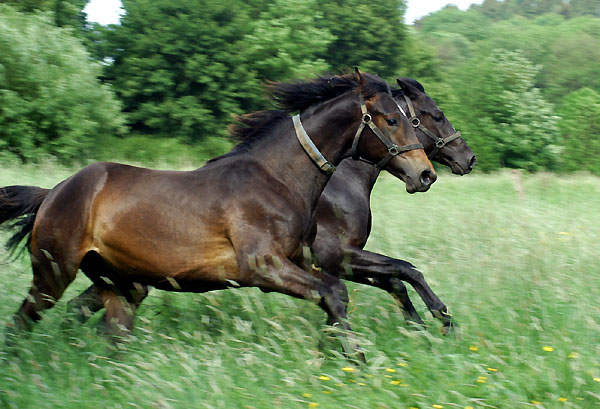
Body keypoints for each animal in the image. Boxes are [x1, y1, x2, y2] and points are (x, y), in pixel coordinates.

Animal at [0, 70, 434, 356]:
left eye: (411, 119)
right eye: (393, 119)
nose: (425, 173)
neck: (276, 179)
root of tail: (54, 192)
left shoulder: (304, 260)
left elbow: (345, 292)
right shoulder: (263, 267)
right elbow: (335, 293)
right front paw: (355, 357)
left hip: (123, 283)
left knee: (110, 332)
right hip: (53, 272)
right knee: (22, 321)